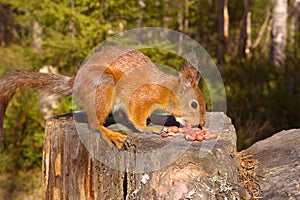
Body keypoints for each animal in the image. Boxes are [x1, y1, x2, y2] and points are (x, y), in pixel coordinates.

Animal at [0, 45, 206, 148]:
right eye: (194, 104)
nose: (200, 125)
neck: (167, 91)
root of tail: (76, 84)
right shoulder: (141, 97)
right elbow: (137, 115)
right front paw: (149, 128)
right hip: (104, 84)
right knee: (93, 124)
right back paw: (111, 135)